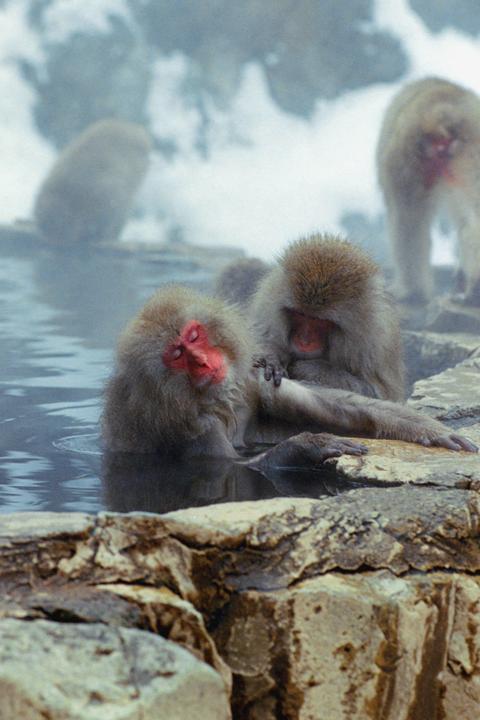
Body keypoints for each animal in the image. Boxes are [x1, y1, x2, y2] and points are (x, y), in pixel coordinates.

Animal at [102, 284, 477, 466]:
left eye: (194, 336)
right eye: (178, 355)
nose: (204, 362)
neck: (219, 399)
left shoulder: (250, 378)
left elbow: (342, 407)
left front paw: (429, 429)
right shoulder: (188, 426)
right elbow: (230, 468)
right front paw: (308, 445)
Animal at [245, 233, 405, 401]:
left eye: (320, 321)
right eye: (300, 314)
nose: (304, 341)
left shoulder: (373, 344)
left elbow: (376, 393)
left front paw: (312, 369)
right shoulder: (267, 305)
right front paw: (271, 356)